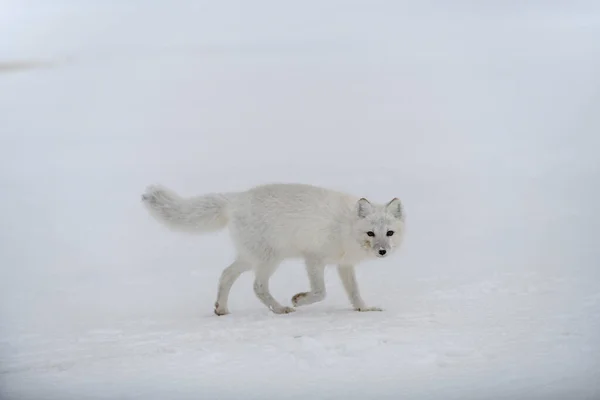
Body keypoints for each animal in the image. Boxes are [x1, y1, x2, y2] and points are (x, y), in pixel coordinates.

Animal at [141, 182, 406, 316]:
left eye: (389, 233)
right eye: (370, 233)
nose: (382, 252)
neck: (346, 228)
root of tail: (236, 199)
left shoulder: (344, 264)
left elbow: (354, 292)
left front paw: (364, 308)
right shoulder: (313, 258)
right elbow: (320, 292)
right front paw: (299, 299)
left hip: (251, 258)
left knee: (226, 274)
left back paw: (222, 309)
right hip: (269, 259)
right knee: (257, 286)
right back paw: (280, 309)